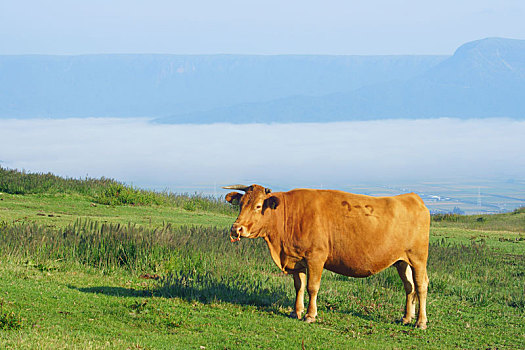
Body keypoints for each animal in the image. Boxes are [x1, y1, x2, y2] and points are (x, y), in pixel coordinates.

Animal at [223, 183, 428, 328]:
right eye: (240, 205)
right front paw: (296, 312)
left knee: (421, 286)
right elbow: (299, 286)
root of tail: (413, 197)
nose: (236, 228)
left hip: (418, 259)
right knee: (409, 287)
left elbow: (312, 287)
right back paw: (406, 318)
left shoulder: (316, 258)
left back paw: (420, 322)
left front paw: (310, 315)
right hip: (402, 261)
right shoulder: (297, 259)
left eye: (258, 206)